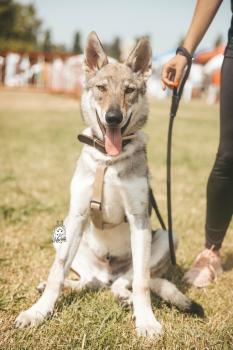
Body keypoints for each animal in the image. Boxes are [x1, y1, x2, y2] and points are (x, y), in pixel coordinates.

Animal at [15, 31, 204, 338]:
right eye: (101, 88)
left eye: (129, 91)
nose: (113, 118)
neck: (108, 159)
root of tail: (107, 273)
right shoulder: (77, 215)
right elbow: (57, 272)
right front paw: (38, 311)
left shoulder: (138, 218)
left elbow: (142, 283)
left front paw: (146, 321)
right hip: (62, 232)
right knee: (87, 279)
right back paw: (72, 286)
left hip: (166, 237)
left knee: (126, 282)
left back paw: (124, 297)